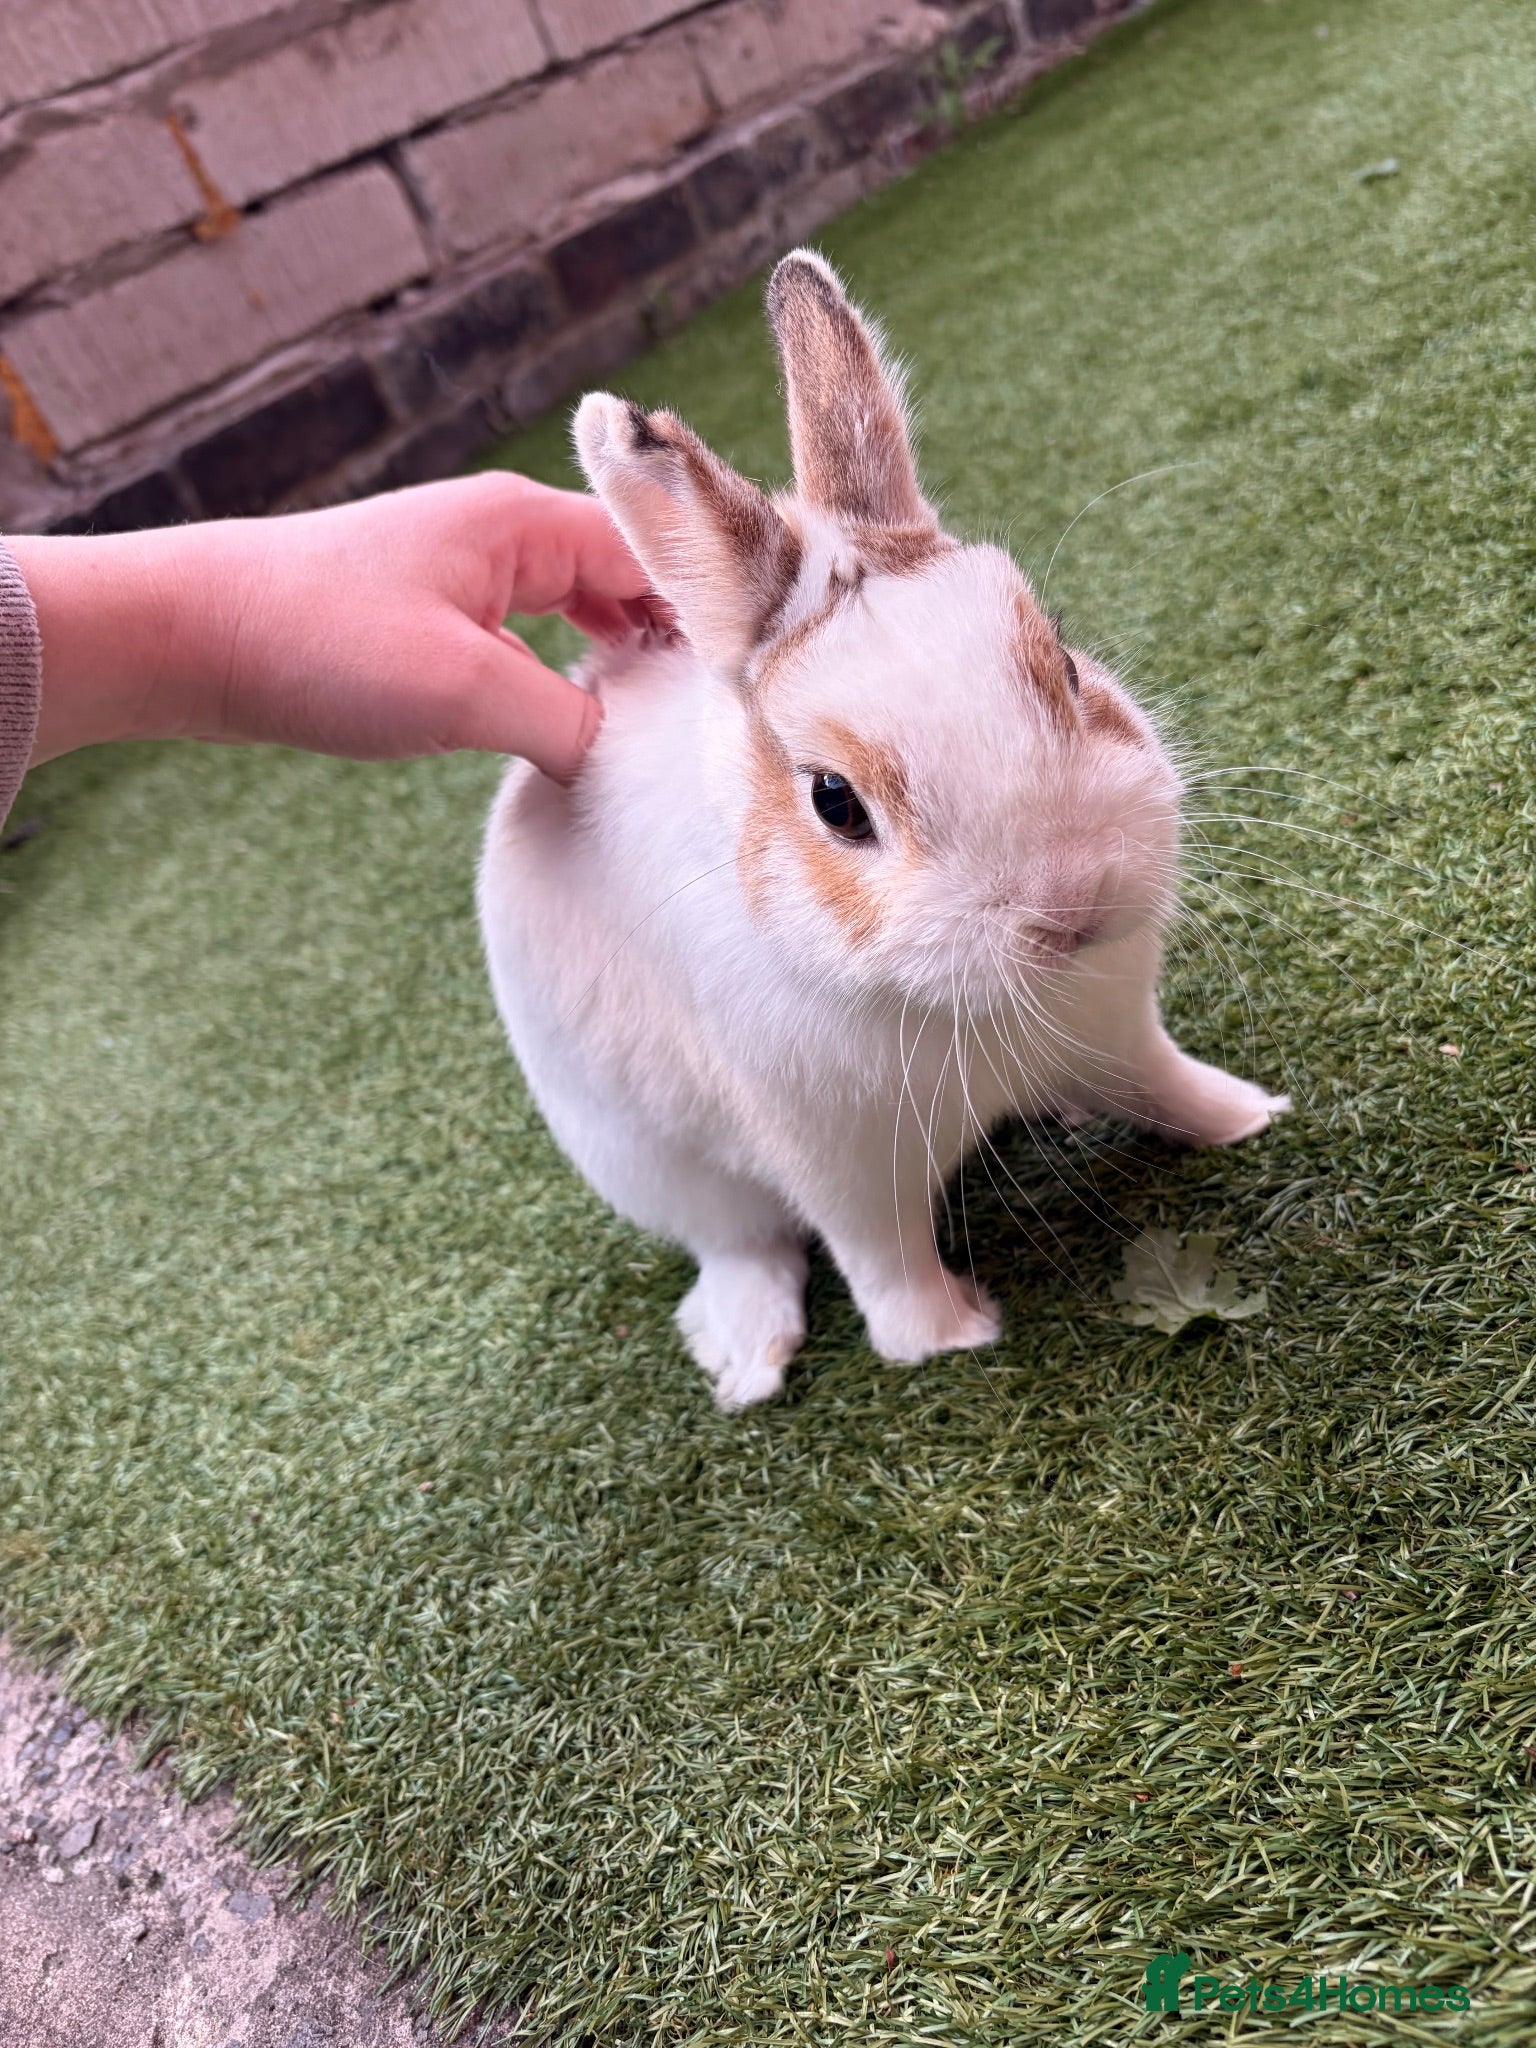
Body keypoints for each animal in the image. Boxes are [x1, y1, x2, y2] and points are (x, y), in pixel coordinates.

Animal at [478, 250, 1288, 1412]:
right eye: (834, 801)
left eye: (1067, 664)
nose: (1072, 900)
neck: (963, 1003)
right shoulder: (841, 1161)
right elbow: (883, 1254)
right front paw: (944, 1340)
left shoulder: (1118, 1030)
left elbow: (1166, 1083)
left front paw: (1249, 1116)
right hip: (648, 1161)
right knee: (741, 1245)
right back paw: (747, 1359)